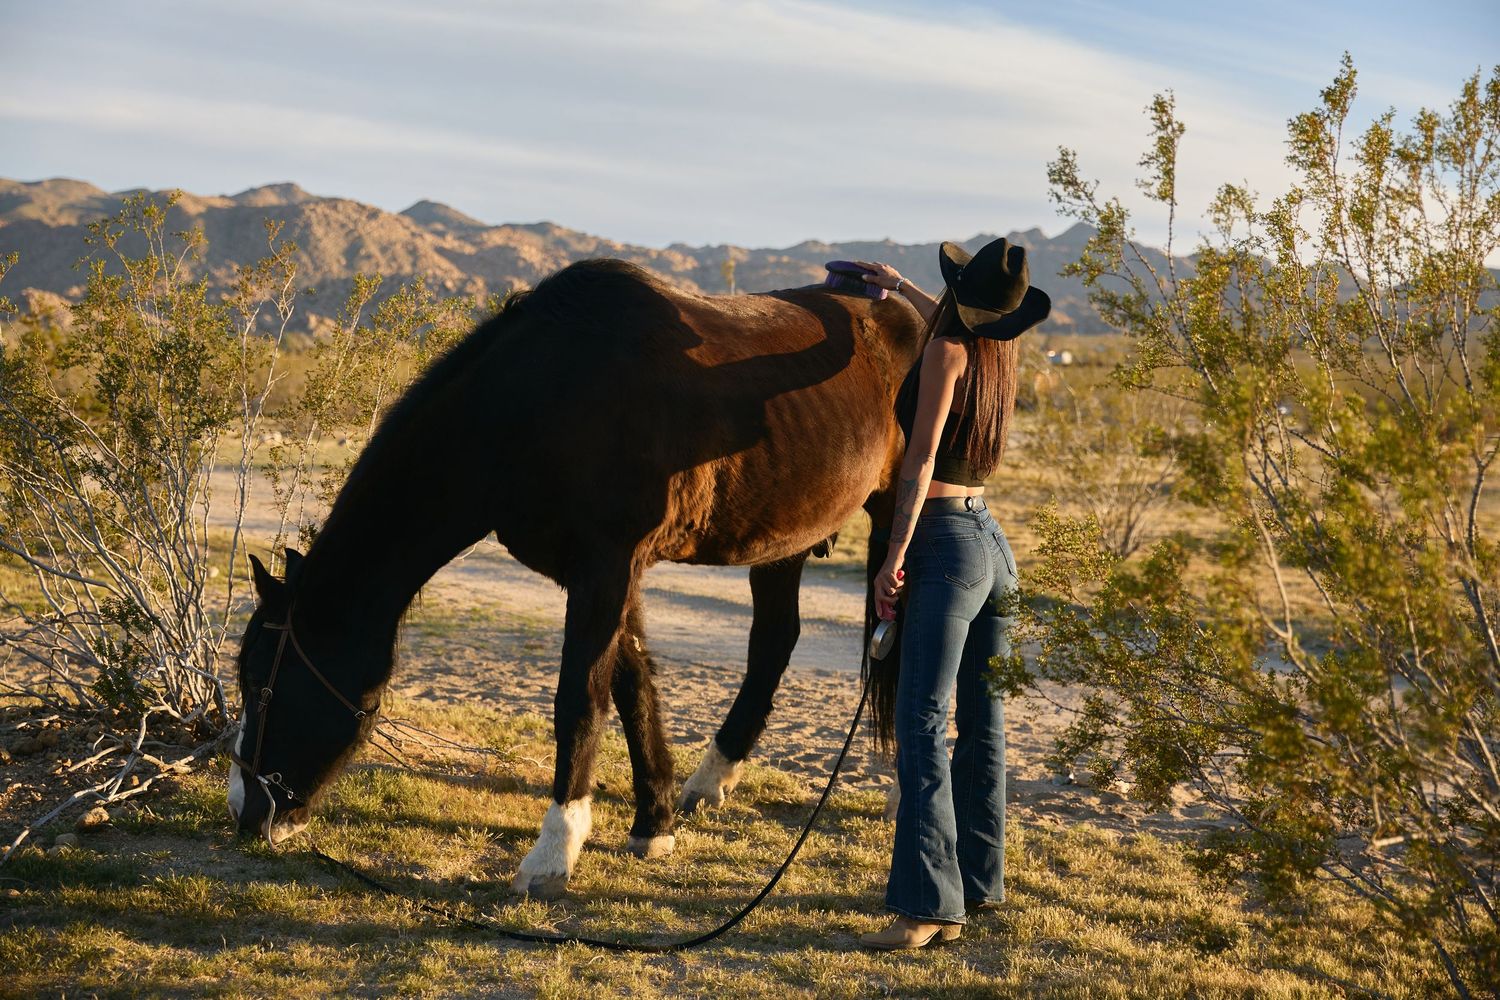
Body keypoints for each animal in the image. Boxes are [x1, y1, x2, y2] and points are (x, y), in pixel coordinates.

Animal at [228, 257, 925, 897]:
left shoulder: (606, 568)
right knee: (774, 644)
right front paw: (654, 822)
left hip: (900, 518)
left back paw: (899, 793)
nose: (245, 811)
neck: (539, 399)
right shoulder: (607, 575)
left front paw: (553, 851)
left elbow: (579, 699)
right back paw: (711, 781)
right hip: (785, 540)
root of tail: (914, 310)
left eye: (264, 681)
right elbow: (632, 683)